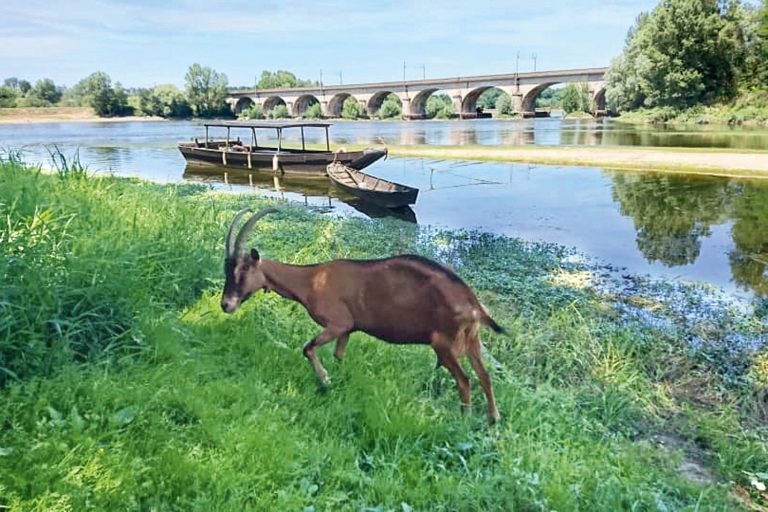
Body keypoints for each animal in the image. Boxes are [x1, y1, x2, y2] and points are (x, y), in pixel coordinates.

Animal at [220, 208, 504, 424]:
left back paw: (465, 419)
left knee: (465, 380)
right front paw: (341, 380)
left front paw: (325, 379)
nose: (226, 305)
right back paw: (493, 420)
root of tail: (472, 301)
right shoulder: (348, 329)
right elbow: (339, 355)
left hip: (444, 344)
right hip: (472, 340)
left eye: (244, 269)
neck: (311, 280)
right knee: (485, 376)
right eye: (226, 270)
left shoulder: (337, 323)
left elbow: (307, 348)